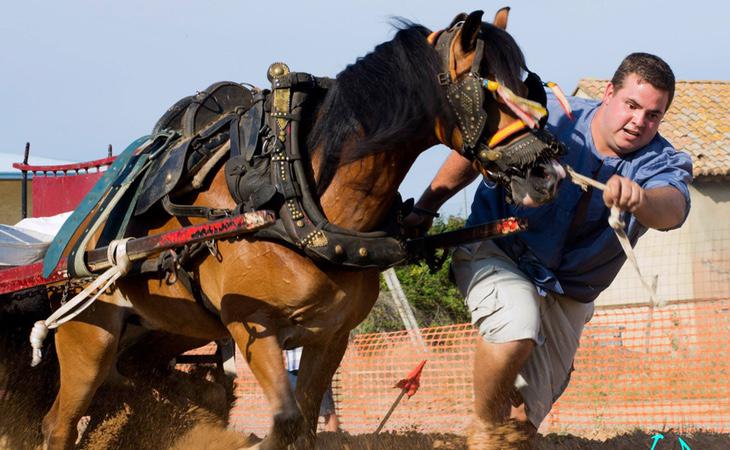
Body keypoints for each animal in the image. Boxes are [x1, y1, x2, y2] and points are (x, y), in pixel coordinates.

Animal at [38, 7, 564, 450]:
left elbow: (306, 422)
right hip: (89, 337)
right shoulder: (252, 326)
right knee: (58, 423)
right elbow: (285, 421)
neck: (292, 201)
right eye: (491, 92)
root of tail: (70, 241)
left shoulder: (330, 336)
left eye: (529, 86)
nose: (547, 173)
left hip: (167, 331)